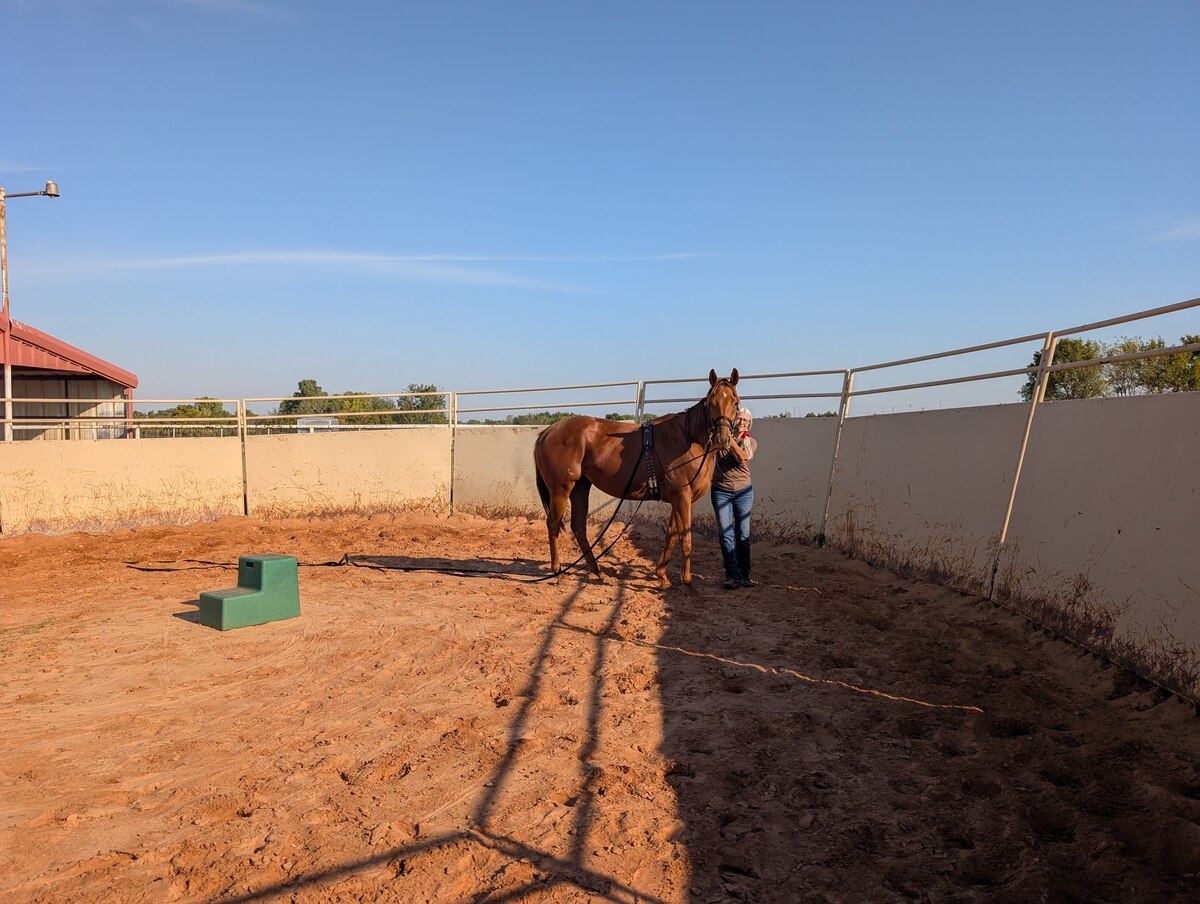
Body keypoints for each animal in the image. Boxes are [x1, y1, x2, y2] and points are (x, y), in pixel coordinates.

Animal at [533, 369, 741, 587]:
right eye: (711, 403)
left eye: (735, 402)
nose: (723, 438)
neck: (688, 438)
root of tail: (547, 432)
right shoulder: (682, 495)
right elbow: (686, 538)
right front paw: (687, 581)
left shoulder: (682, 499)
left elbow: (672, 534)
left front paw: (662, 575)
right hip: (561, 489)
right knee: (553, 525)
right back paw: (558, 572)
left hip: (580, 487)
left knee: (578, 526)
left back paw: (598, 572)